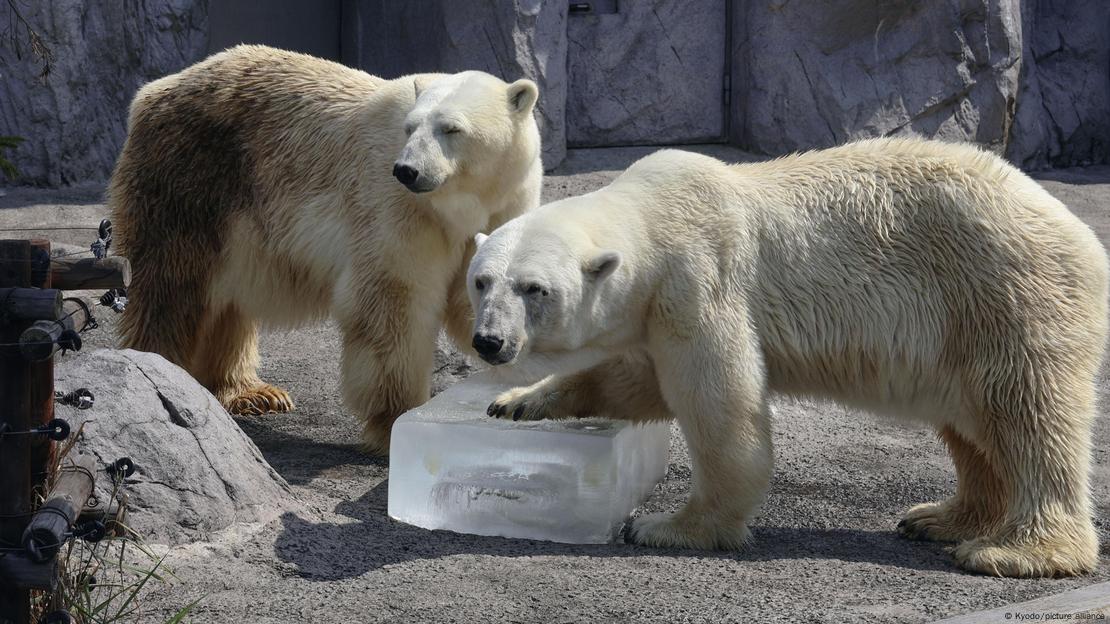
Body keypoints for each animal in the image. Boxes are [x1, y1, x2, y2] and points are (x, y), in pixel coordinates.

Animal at [112, 44, 541, 450]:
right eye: (410, 128)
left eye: (451, 128)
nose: (407, 170)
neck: (458, 205)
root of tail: (153, 90)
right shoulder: (396, 208)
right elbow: (396, 303)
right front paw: (399, 420)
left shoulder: (502, 208)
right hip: (192, 179)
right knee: (174, 284)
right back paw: (161, 371)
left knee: (228, 299)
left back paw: (250, 392)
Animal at [466, 138, 1110, 577]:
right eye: (481, 281)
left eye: (534, 289)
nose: (489, 342)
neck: (654, 212)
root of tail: (1080, 233)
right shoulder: (652, 313)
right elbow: (636, 380)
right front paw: (517, 402)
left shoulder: (698, 281)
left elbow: (720, 406)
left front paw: (667, 527)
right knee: (972, 426)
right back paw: (939, 517)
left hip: (1006, 294)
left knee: (1029, 414)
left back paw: (1017, 550)